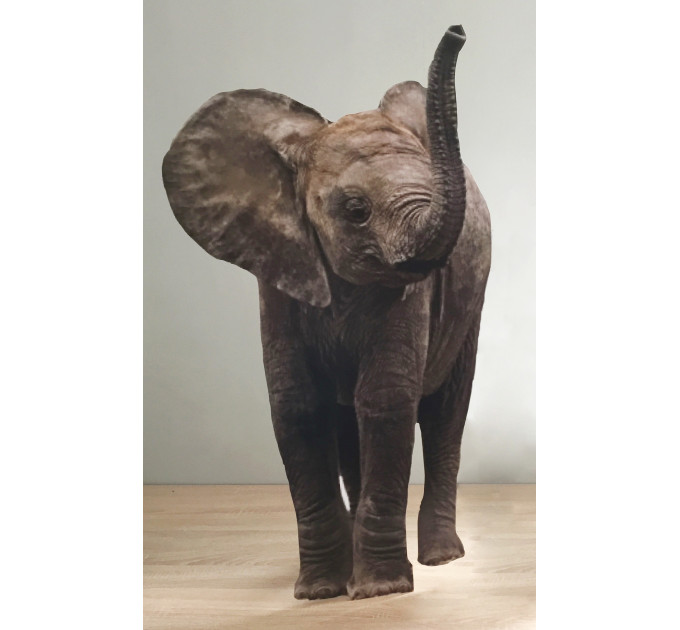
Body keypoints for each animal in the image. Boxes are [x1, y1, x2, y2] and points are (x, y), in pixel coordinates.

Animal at [162, 25, 491, 600]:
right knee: (346, 421)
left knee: (444, 414)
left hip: (470, 313)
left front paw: (380, 591)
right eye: (356, 211)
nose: (457, 31)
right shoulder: (277, 275)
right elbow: (297, 407)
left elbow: (384, 400)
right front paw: (319, 592)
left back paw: (441, 559)